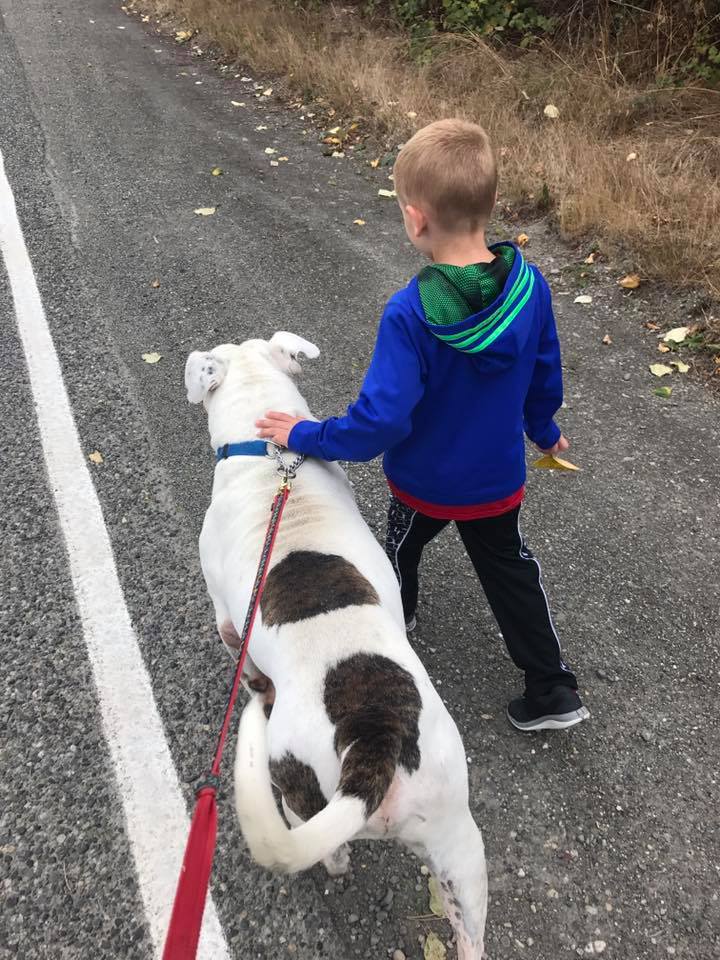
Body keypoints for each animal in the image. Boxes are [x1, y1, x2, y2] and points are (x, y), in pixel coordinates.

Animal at [186, 334, 490, 956]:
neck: (270, 458)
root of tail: (374, 733)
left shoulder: (227, 620)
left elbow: (243, 662)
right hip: (459, 841)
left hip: (296, 789)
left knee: (325, 847)